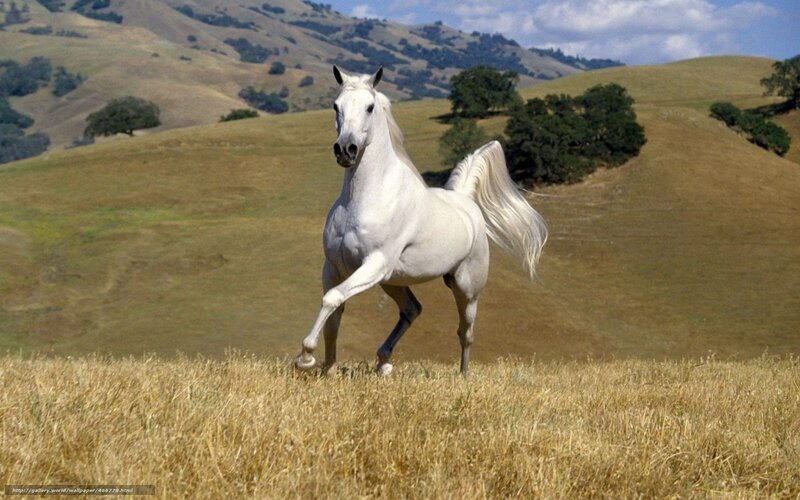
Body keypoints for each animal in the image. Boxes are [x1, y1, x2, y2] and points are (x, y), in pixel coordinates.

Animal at [293, 65, 548, 376]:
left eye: (369, 107)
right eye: (335, 106)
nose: (346, 149)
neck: (363, 199)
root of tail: (465, 201)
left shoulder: (374, 263)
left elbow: (332, 299)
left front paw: (305, 358)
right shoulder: (334, 267)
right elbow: (334, 314)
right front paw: (327, 370)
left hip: (465, 287)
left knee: (465, 332)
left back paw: (463, 376)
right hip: (392, 281)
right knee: (412, 309)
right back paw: (383, 362)